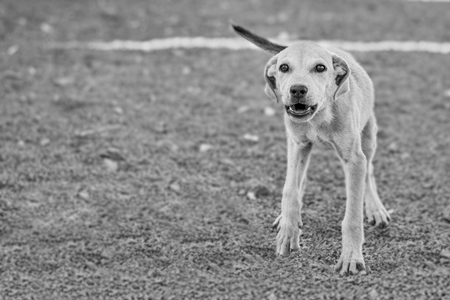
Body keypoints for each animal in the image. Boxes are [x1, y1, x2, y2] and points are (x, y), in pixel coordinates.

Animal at [232, 24, 390, 276]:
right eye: (284, 67)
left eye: (320, 68)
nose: (297, 89)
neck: (320, 115)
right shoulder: (298, 145)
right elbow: (290, 191)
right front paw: (288, 231)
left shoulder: (354, 160)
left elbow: (352, 216)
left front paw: (351, 257)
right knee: (298, 181)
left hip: (368, 136)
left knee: (370, 172)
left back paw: (375, 208)